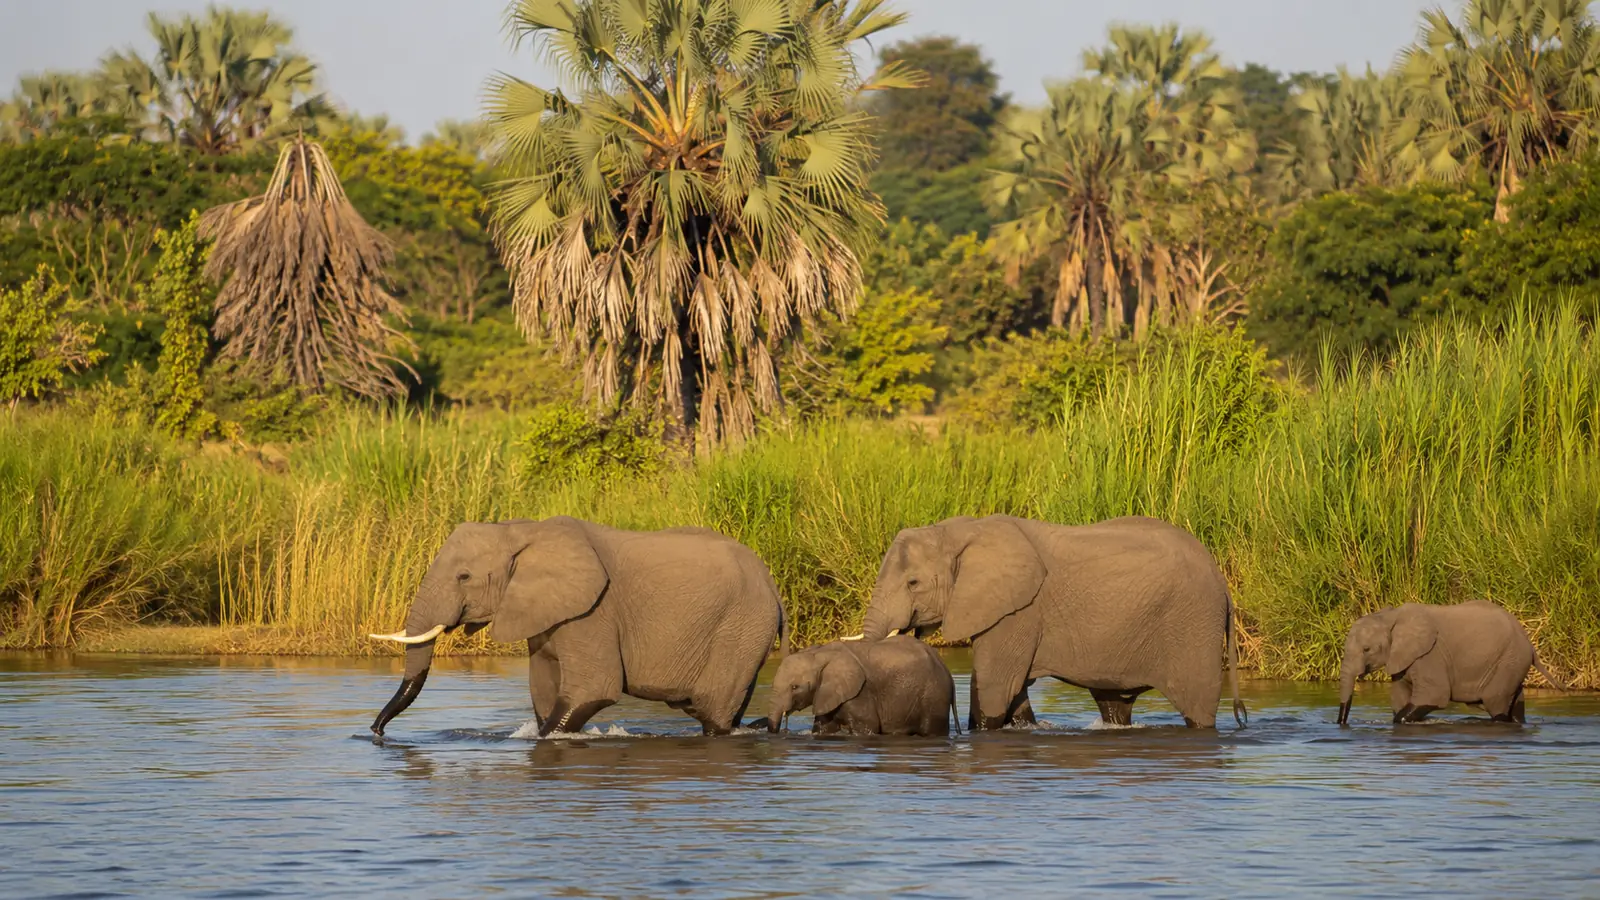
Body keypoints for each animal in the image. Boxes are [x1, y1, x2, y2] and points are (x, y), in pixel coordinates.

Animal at [368, 517, 785, 738]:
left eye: (464, 576)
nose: (377, 733)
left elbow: (593, 689)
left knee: (713, 709)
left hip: (742, 625)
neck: (522, 531)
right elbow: (543, 686)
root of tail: (774, 588)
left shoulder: (593, 611)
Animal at [766, 636, 959, 737]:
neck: (820, 653)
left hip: (934, 695)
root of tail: (946, 669)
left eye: (794, 687)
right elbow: (824, 727)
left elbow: (867, 726)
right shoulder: (826, 693)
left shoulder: (859, 693)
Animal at [855, 514, 1244, 730]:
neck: (954, 532)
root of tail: (1223, 584)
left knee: (1197, 707)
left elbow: (995, 689)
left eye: (913, 583)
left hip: (1194, 624)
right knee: (1114, 704)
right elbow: (1014, 695)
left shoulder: (1017, 612)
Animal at [1336, 600, 1570, 725]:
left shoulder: (1430, 655)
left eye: (1367, 649)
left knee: (1495, 703)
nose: (1341, 723)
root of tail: (1530, 645)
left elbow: (1433, 695)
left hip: (1509, 661)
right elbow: (1400, 697)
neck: (1390, 617)